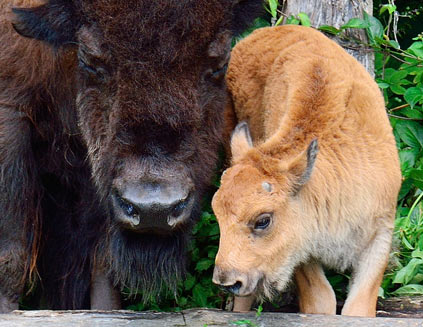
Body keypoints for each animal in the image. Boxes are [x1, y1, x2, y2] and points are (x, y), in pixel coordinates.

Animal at [0, 0, 262, 312]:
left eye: (219, 64)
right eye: (91, 61)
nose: (154, 210)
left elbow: (102, 262)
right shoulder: (10, 112)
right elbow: (11, 251)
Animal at [214, 25, 402, 318]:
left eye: (263, 220)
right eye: (216, 213)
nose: (227, 280)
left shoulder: (380, 231)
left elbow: (358, 306)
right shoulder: (302, 248)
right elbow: (321, 299)